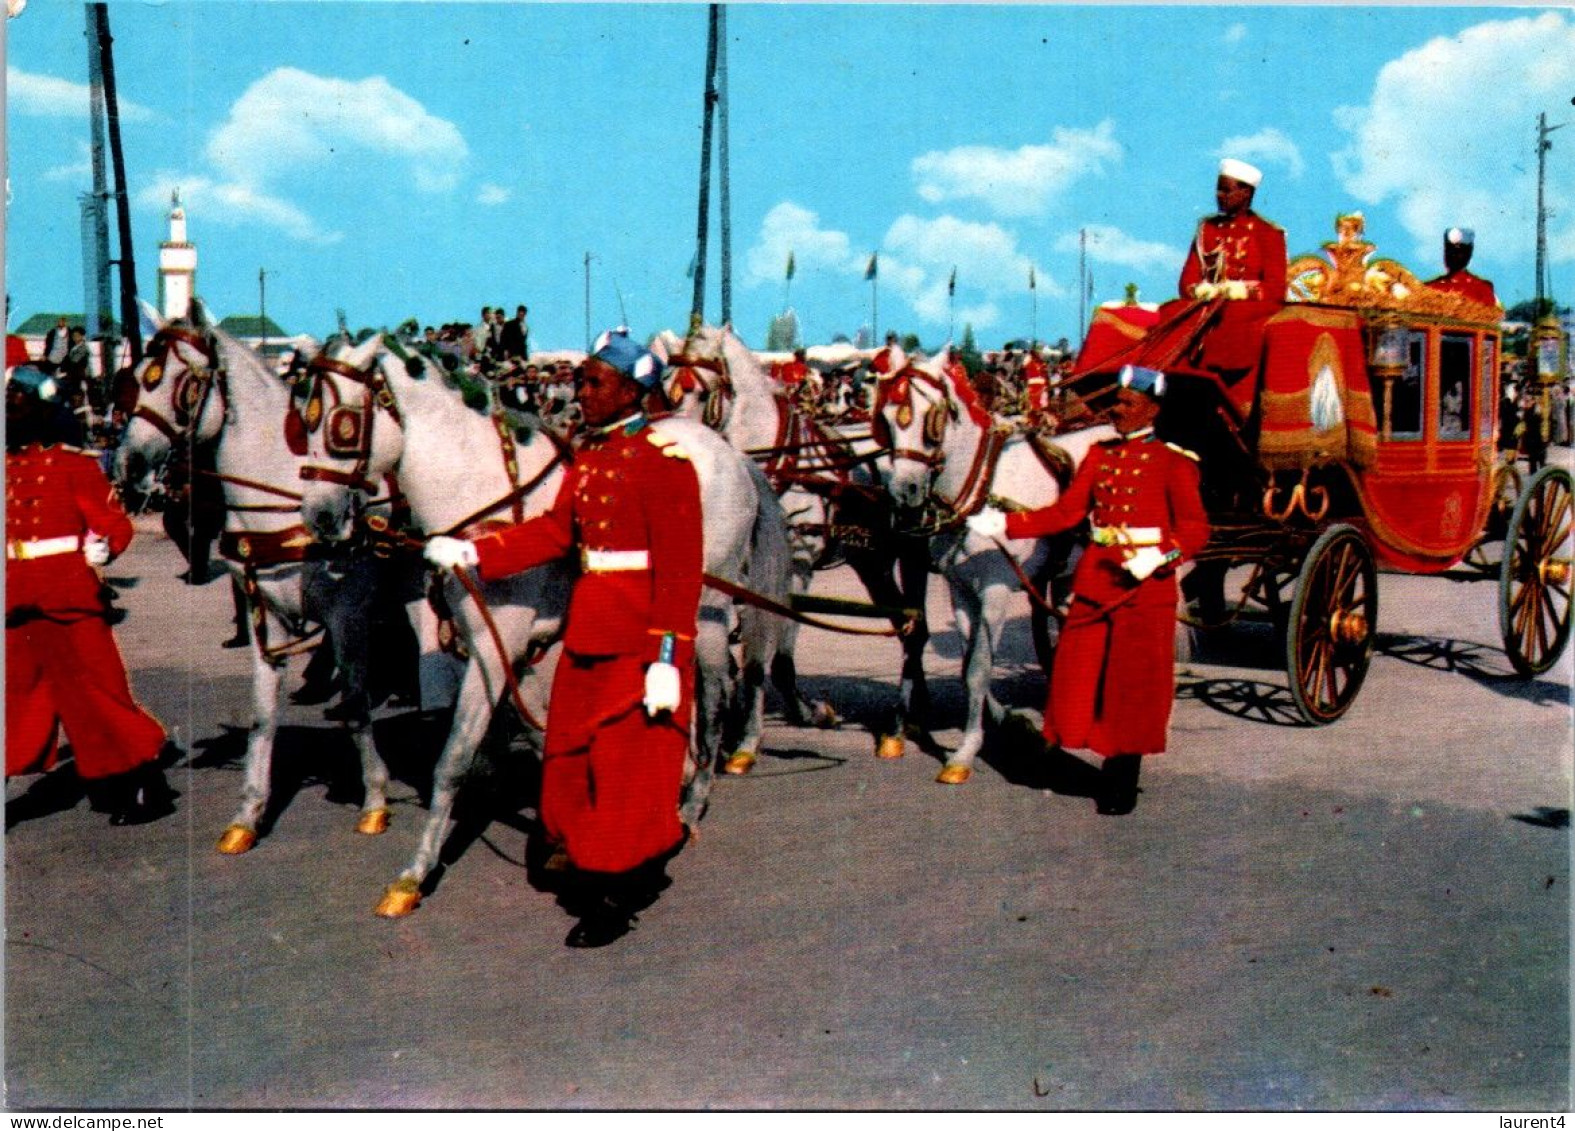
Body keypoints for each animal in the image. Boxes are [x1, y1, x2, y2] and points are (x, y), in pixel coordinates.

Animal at [111, 300, 403, 850]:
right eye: (137, 378)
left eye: (183, 382)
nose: (128, 464)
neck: (285, 494)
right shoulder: (267, 613)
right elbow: (263, 715)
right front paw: (249, 813)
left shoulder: (349, 613)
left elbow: (357, 702)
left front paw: (375, 799)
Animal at [296, 332, 787, 919]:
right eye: (302, 419)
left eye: (342, 424)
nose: (319, 517)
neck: (484, 495)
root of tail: (731, 454)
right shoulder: (512, 651)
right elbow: (540, 736)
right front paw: (558, 835)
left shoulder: (492, 650)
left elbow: (453, 760)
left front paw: (413, 875)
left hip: (705, 615)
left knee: (713, 696)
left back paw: (691, 805)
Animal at [869, 349, 1115, 784]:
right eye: (886, 418)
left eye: (932, 418)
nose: (905, 492)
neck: (982, 489)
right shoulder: (961, 590)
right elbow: (968, 665)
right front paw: (1002, 723)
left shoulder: (995, 590)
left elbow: (980, 667)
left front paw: (966, 751)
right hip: (1070, 574)